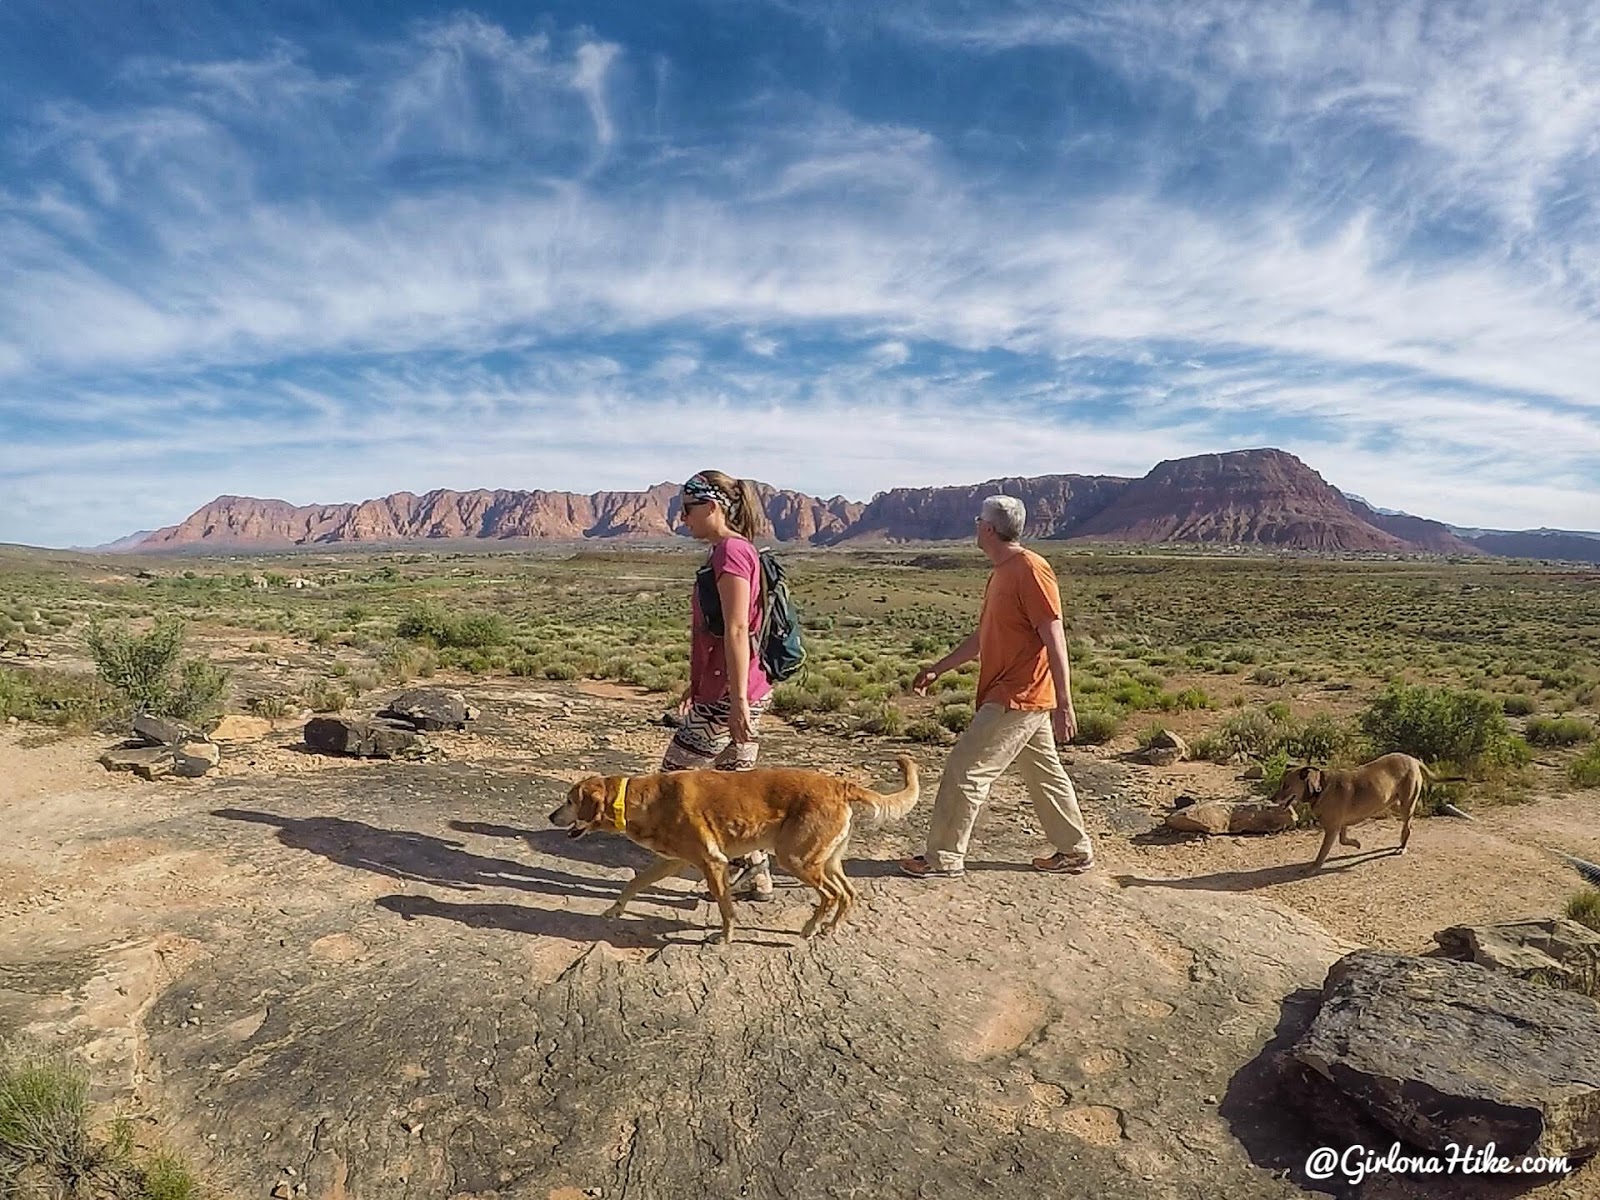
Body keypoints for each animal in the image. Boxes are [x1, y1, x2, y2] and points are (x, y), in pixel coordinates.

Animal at [550, 755, 921, 947]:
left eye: (569, 801)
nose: (551, 817)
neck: (639, 800)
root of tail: (840, 784)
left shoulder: (712, 863)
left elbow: (726, 908)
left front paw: (725, 937)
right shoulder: (671, 862)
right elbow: (634, 882)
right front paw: (615, 910)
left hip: (795, 859)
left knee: (830, 895)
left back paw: (809, 929)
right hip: (825, 860)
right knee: (848, 893)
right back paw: (830, 928)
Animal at [1273, 755, 1465, 870]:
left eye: (1286, 785)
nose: (1272, 798)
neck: (1319, 787)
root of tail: (1413, 759)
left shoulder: (1332, 828)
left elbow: (1322, 853)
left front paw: (1313, 867)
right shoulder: (1341, 825)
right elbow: (1344, 840)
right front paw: (1357, 844)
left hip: (1406, 803)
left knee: (1408, 827)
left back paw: (1402, 847)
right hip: (1392, 803)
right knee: (1407, 824)